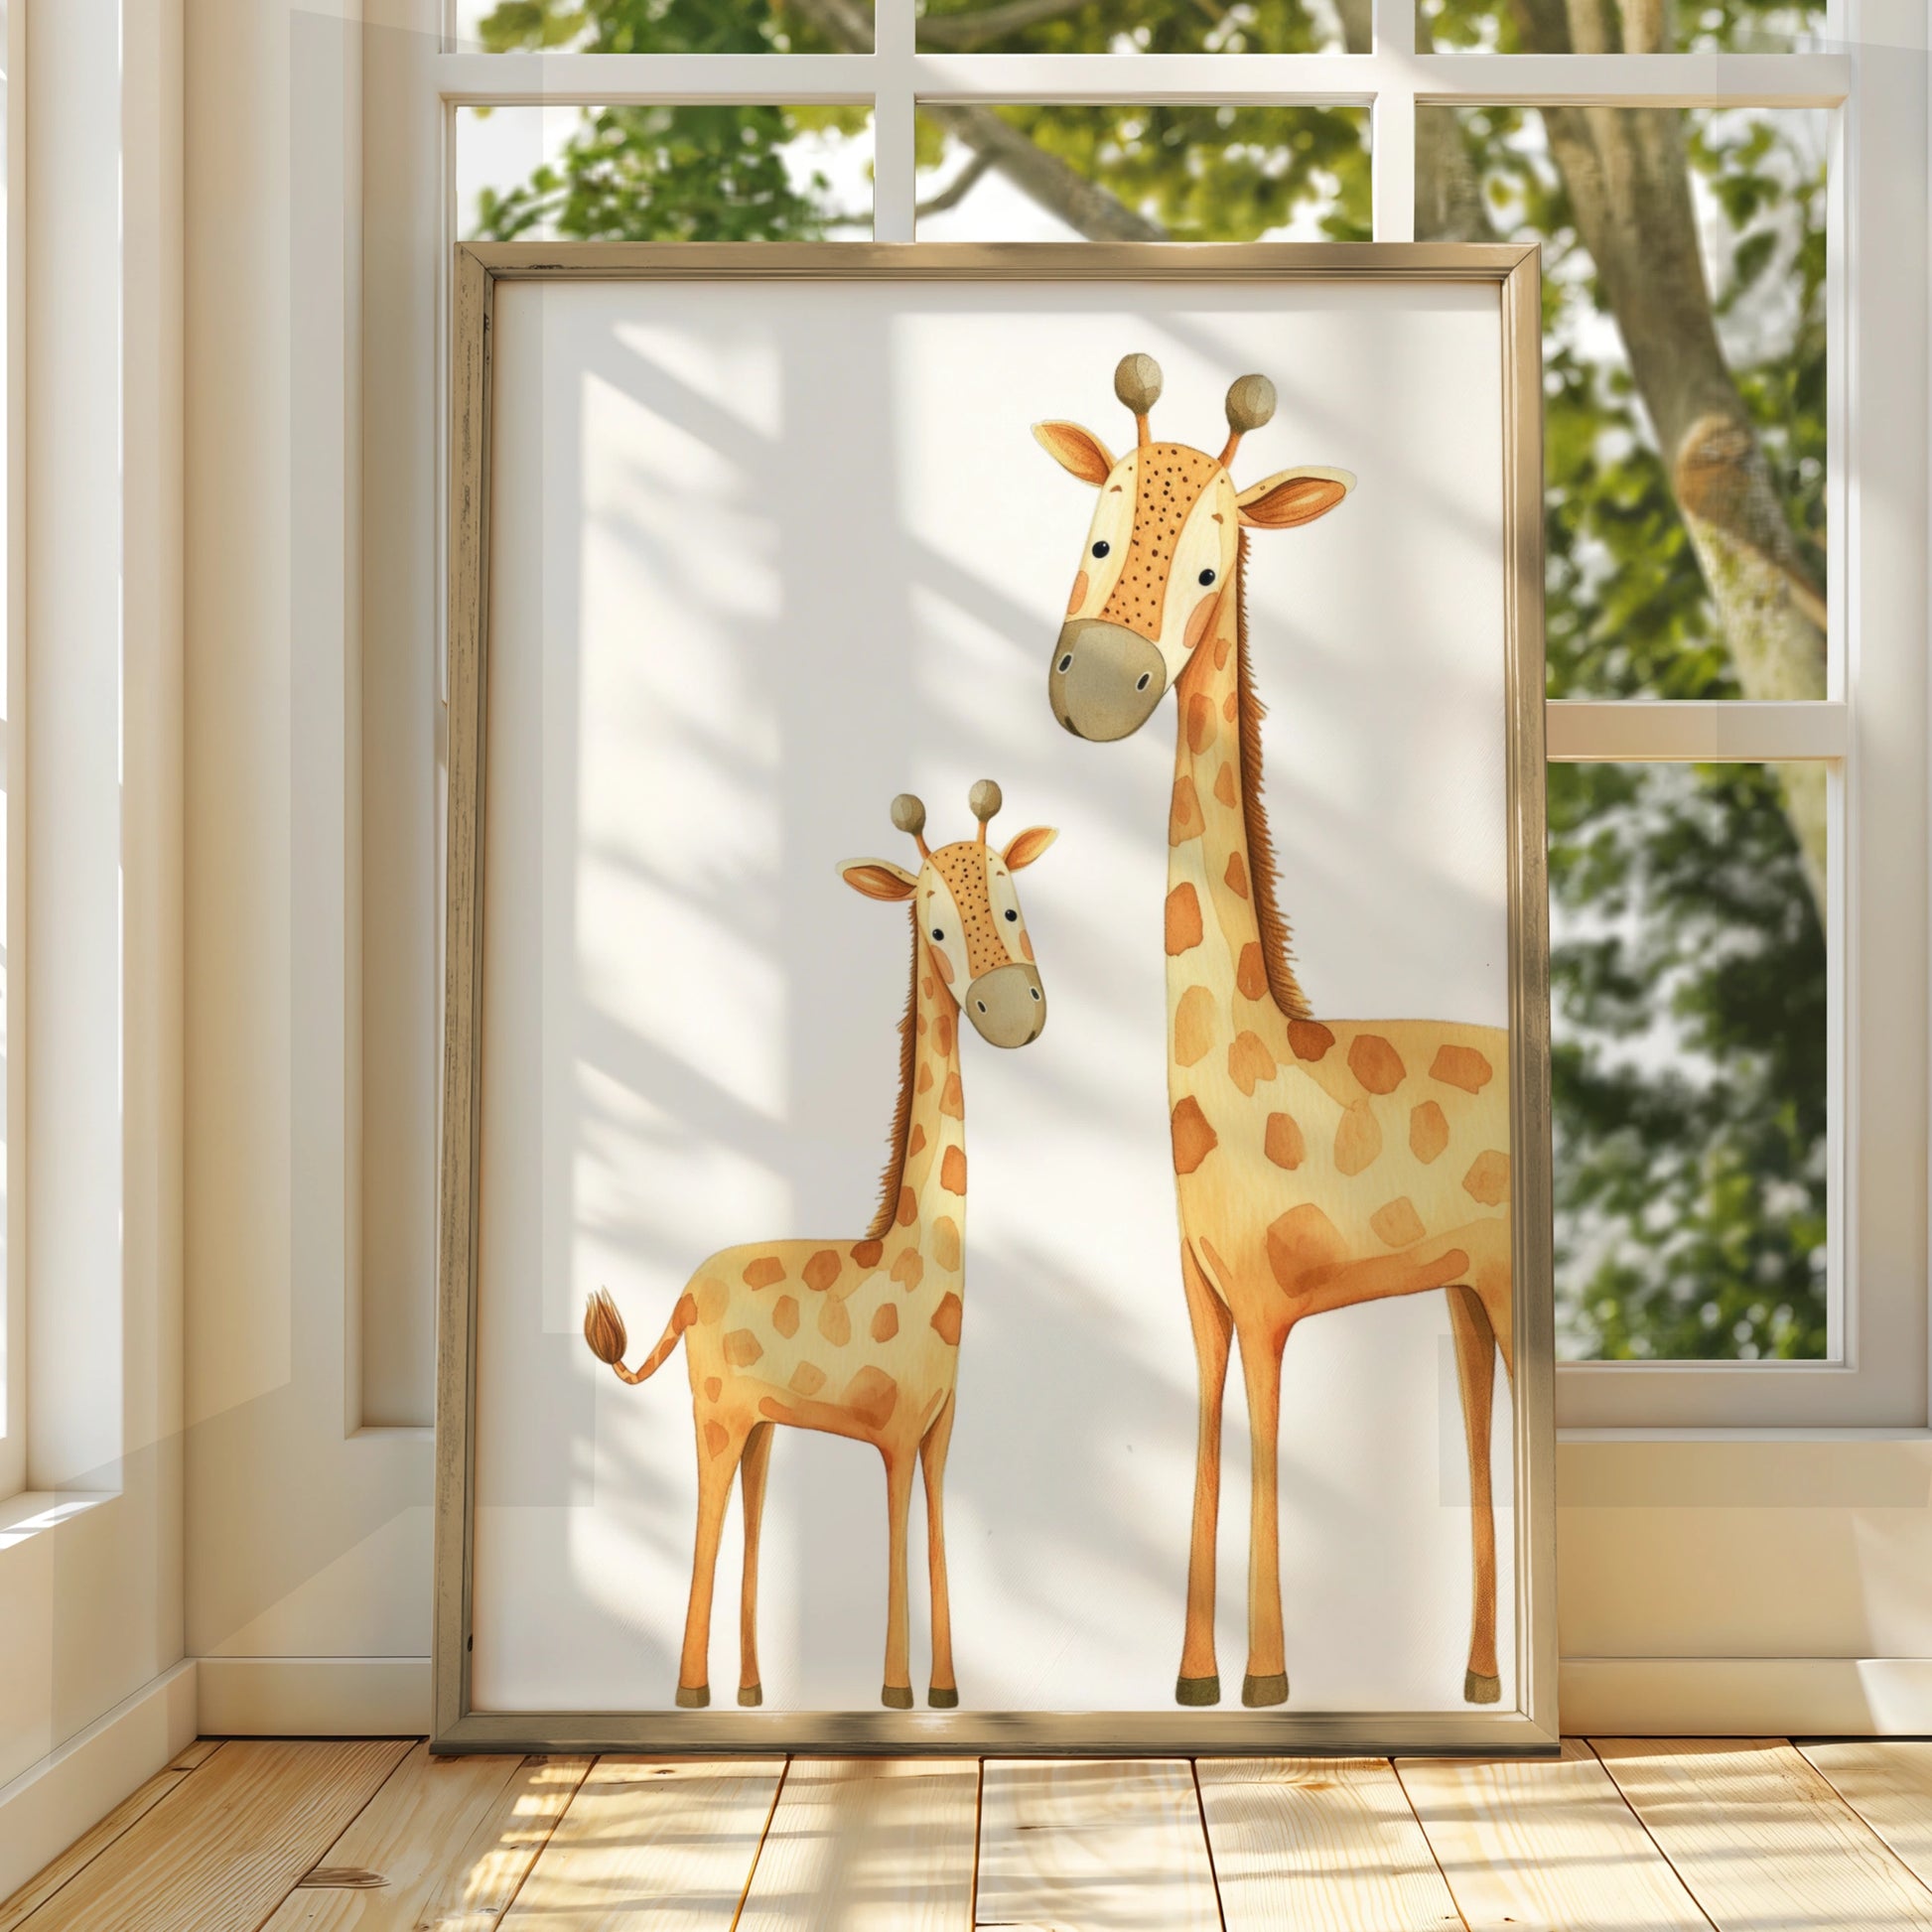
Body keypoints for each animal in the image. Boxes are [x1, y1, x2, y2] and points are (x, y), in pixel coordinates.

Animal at [583, 782, 1058, 1713]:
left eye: (1014, 904)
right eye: (934, 929)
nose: (1015, 1012)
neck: (920, 1261)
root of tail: (685, 1291)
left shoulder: (941, 1430)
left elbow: (937, 1528)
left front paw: (947, 1694)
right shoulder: (895, 1433)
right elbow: (897, 1530)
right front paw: (896, 1694)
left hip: (762, 1423)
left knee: (750, 1514)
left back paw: (751, 1694)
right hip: (715, 1412)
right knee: (704, 1518)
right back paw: (691, 1694)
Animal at [1033, 354, 1515, 1710]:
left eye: (1212, 568)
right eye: (1095, 533)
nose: (1100, 684)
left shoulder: (1268, 1299)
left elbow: (1265, 1429)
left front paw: (1266, 1678)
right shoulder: (1200, 1295)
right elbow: (1203, 1421)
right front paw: (1190, 1678)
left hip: (1506, 1281)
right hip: (1464, 1290)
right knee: (1478, 1418)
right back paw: (1475, 1679)